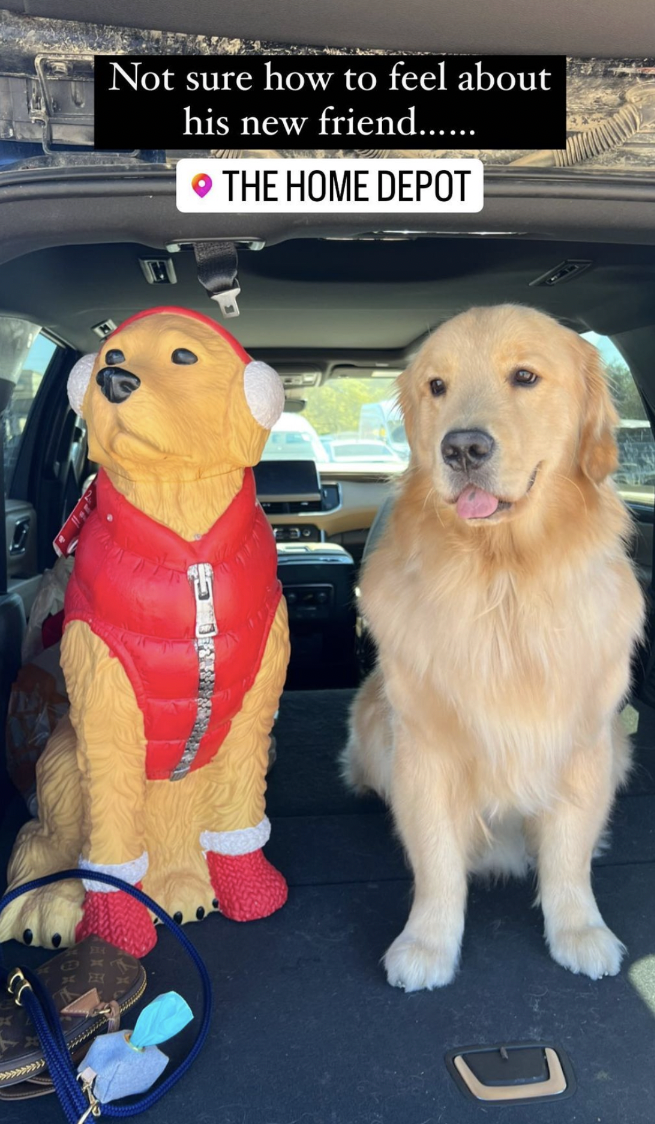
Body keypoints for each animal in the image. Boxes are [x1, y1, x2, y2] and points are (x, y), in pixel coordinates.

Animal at [343, 301, 647, 993]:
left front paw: (579, 930)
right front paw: (427, 942)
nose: (462, 447)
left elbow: (569, 856)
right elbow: (435, 860)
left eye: (525, 377)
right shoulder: (424, 748)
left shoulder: (584, 742)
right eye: (436, 386)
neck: (504, 582)